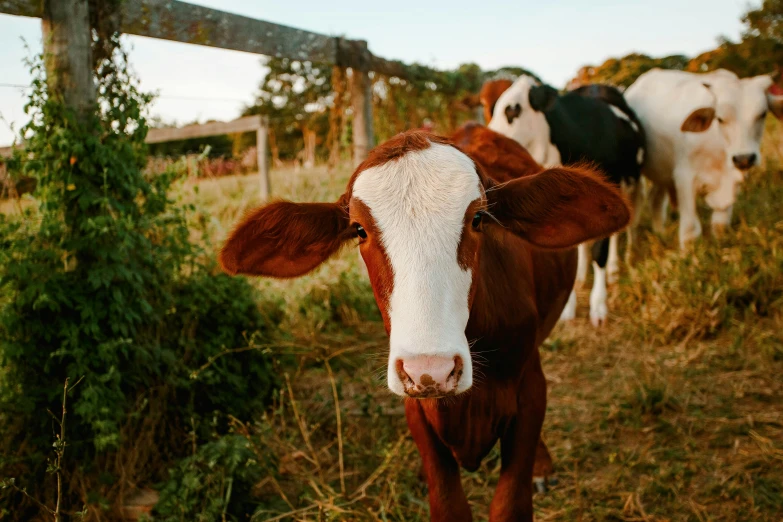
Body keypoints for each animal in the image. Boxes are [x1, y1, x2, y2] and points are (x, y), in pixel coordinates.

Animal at [220, 124, 632, 516]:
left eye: (478, 218)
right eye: (359, 230)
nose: (430, 370)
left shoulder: (528, 386)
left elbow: (510, 502)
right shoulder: (417, 412)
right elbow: (447, 504)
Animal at [486, 76, 648, 324]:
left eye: (513, 110)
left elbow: (600, 250)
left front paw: (598, 305)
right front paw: (569, 307)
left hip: (633, 184)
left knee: (624, 229)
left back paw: (615, 267)